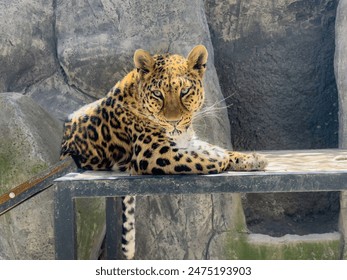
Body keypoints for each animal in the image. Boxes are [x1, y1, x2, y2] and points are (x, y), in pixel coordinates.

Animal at [59, 44, 268, 260]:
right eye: (158, 94)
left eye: (184, 91)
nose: (173, 121)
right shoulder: (153, 152)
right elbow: (207, 158)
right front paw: (222, 158)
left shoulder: (187, 140)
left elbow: (216, 149)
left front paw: (252, 159)